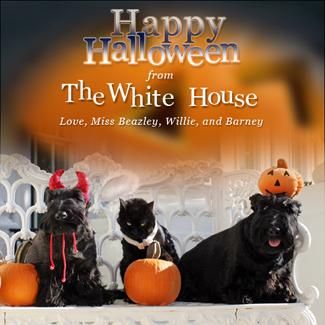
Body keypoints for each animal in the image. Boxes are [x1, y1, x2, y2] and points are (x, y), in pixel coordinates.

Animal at [26, 170, 115, 306]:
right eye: (51, 199)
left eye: (76, 198)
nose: (60, 215)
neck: (67, 235)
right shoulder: (50, 266)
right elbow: (51, 283)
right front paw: (51, 301)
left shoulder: (87, 264)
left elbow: (88, 281)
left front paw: (91, 298)